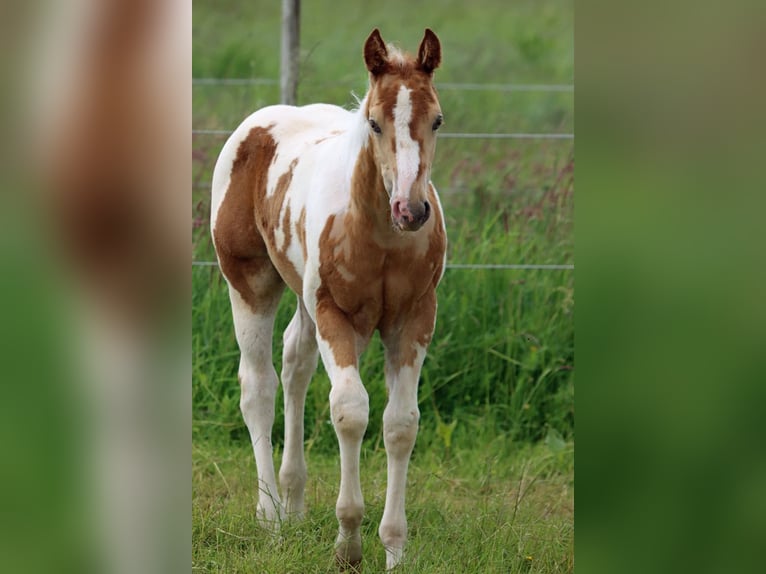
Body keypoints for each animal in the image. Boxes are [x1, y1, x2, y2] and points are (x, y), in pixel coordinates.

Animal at [212, 28, 450, 572]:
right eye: (374, 122)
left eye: (437, 120)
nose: (411, 210)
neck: (379, 234)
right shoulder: (334, 314)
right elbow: (350, 411)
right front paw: (348, 543)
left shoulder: (413, 318)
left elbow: (400, 424)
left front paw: (394, 547)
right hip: (250, 284)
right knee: (258, 386)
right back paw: (272, 518)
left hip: (304, 296)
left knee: (295, 363)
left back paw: (294, 501)